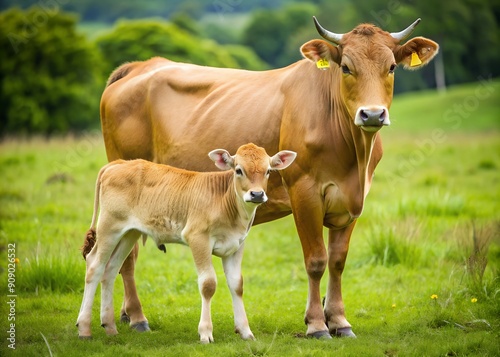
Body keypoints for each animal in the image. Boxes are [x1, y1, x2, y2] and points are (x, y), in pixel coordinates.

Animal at [76, 143, 296, 342]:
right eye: (239, 170)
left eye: (268, 171)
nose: (257, 194)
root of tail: (118, 164)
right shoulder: (197, 237)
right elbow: (208, 284)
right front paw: (206, 332)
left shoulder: (237, 244)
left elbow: (237, 284)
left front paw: (245, 331)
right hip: (109, 226)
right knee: (95, 265)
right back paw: (84, 329)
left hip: (129, 232)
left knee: (111, 269)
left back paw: (110, 326)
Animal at [97, 17, 438, 340]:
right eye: (345, 67)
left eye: (391, 67)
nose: (372, 114)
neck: (354, 155)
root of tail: (141, 65)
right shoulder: (304, 192)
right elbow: (316, 260)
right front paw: (317, 324)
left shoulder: (351, 199)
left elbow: (338, 261)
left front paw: (340, 321)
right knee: (125, 258)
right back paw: (137, 317)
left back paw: (125, 314)